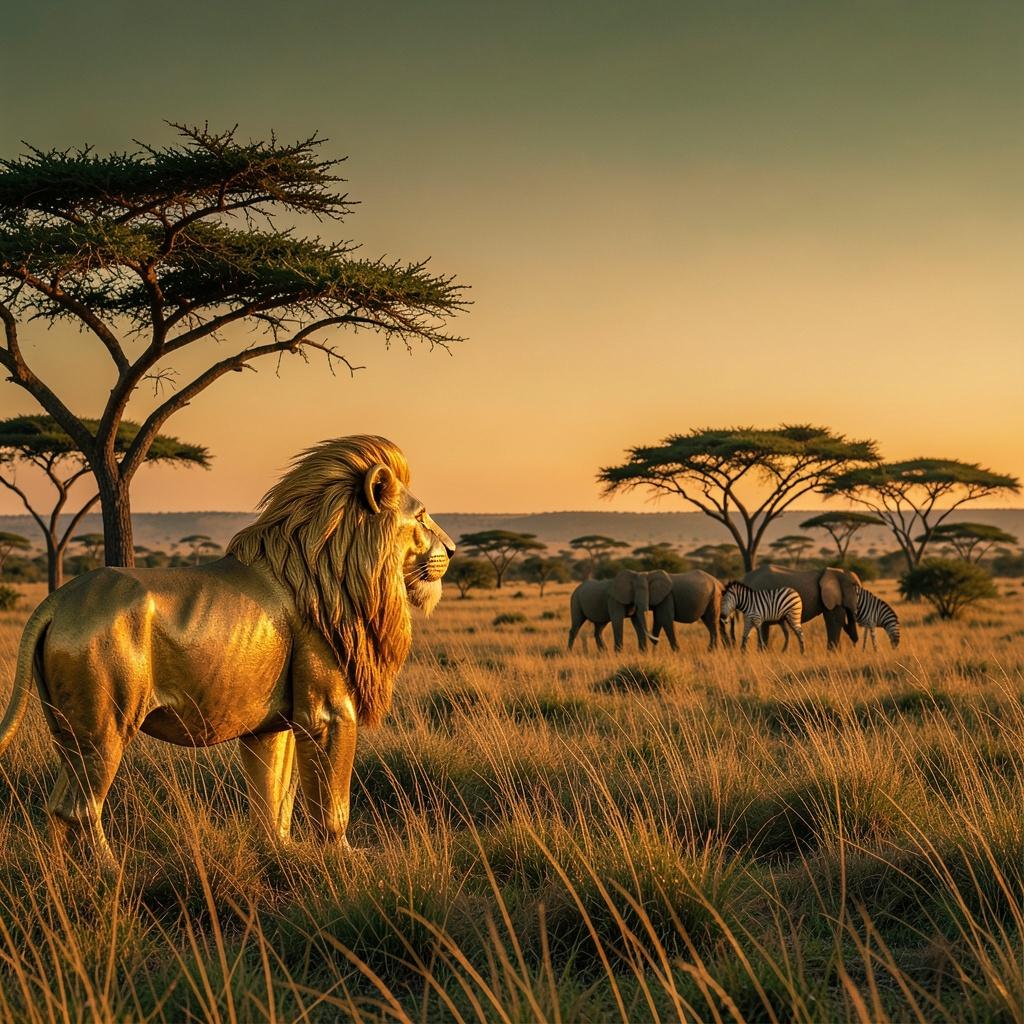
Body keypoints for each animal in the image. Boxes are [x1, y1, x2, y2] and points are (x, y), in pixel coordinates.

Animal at [0, 435, 453, 865]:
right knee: (79, 807)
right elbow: (331, 802)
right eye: (421, 516)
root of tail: (58, 599)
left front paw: (281, 851)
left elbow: (273, 796)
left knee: (58, 806)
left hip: (69, 731)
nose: (451, 550)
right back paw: (110, 872)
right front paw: (342, 858)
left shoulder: (273, 724)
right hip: (105, 724)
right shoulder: (328, 712)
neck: (335, 567)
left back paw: (64, 875)